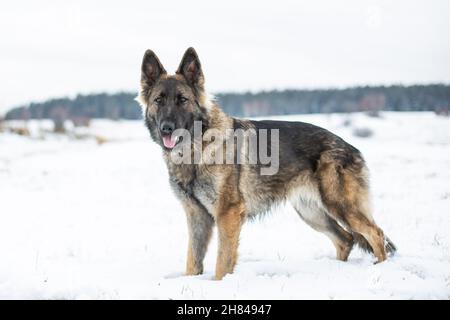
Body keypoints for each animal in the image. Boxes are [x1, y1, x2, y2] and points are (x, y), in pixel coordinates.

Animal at [136, 47, 394, 280]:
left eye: (182, 100)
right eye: (159, 100)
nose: (167, 128)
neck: (196, 149)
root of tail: (351, 147)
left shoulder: (228, 213)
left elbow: (222, 262)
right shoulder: (196, 216)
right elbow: (193, 261)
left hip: (340, 205)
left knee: (376, 234)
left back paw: (379, 269)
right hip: (311, 212)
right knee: (346, 239)